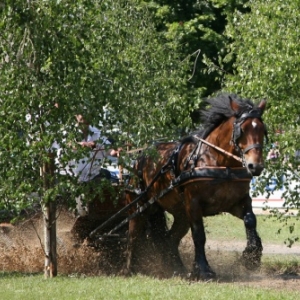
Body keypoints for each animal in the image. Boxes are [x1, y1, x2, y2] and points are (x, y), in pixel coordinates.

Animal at [124, 93, 268, 278]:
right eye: (241, 130)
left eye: (262, 130)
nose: (255, 166)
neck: (220, 163)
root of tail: (140, 158)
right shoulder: (193, 204)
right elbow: (199, 235)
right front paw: (203, 269)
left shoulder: (238, 202)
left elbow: (250, 220)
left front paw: (251, 257)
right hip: (139, 207)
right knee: (132, 236)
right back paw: (129, 269)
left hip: (180, 214)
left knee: (169, 239)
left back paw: (178, 269)